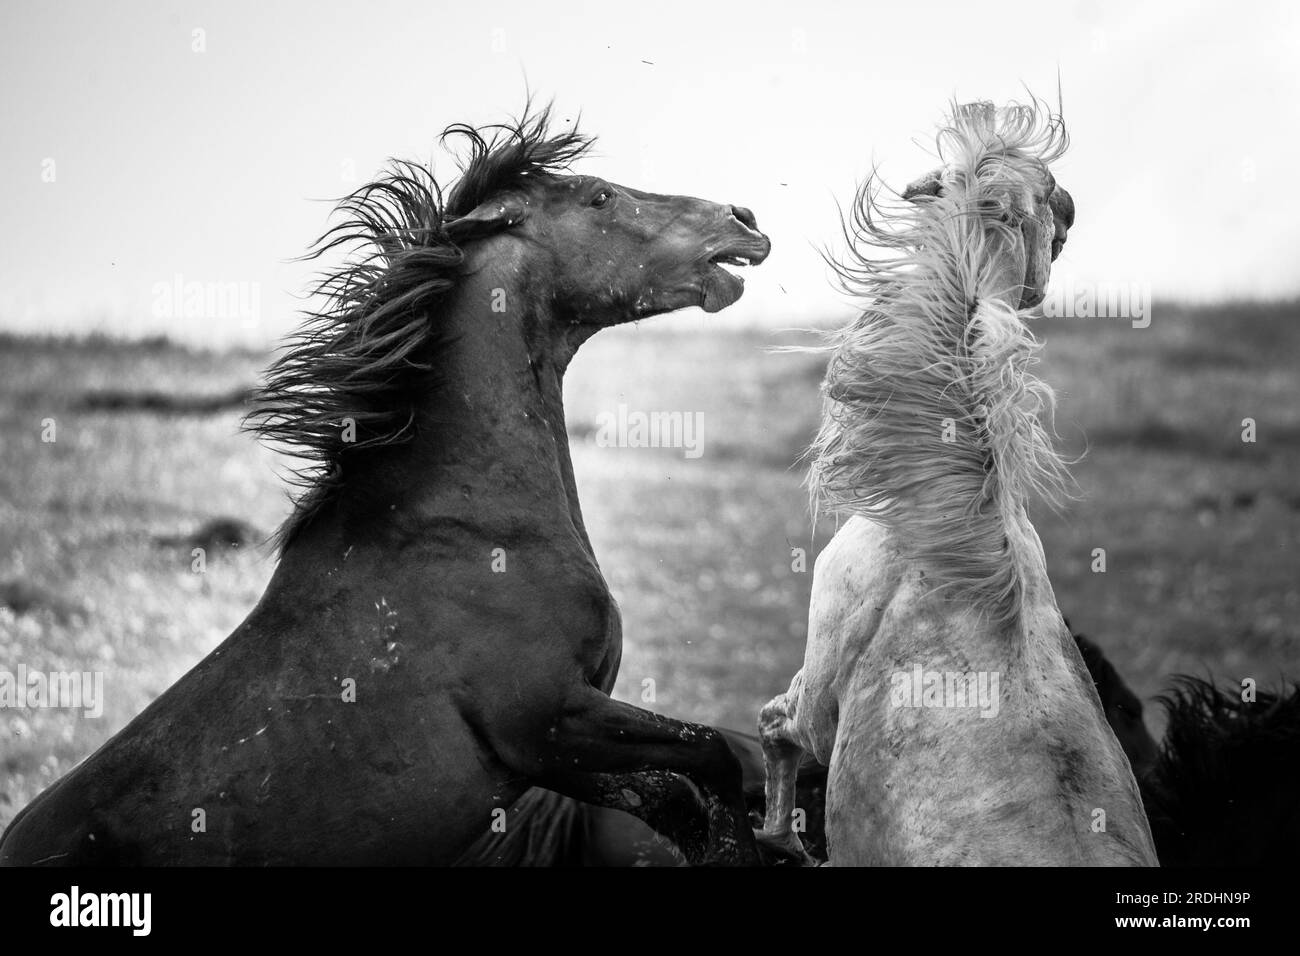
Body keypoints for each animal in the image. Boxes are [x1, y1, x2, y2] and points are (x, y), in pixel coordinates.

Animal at [0, 106, 769, 868]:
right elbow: (720, 756)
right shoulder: (551, 721)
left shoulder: (559, 758)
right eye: (599, 198)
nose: (746, 219)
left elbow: (684, 796)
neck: (467, 528)